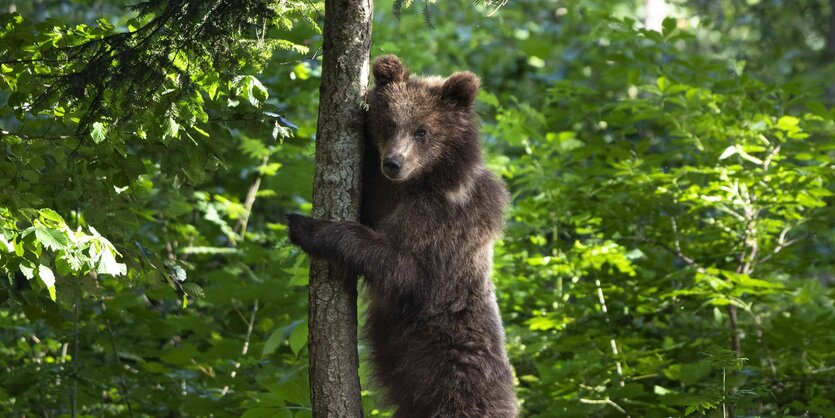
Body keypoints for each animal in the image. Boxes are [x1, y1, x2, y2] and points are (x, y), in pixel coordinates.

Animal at [290, 56, 520, 418]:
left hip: (460, 369)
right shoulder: (382, 196)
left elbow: (402, 265)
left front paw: (305, 226)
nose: (393, 163)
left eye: (422, 131)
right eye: (389, 124)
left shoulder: (446, 225)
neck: (417, 184)